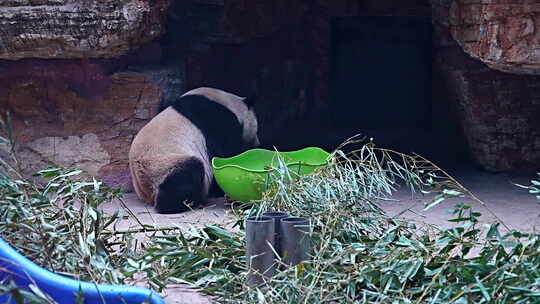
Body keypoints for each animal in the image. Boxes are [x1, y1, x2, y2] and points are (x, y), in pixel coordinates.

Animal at [129, 86, 260, 213]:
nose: (258, 143)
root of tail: (146, 190)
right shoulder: (217, 121)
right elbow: (224, 154)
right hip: (162, 165)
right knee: (189, 172)